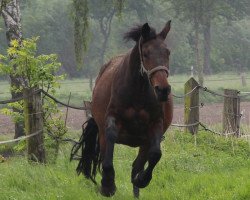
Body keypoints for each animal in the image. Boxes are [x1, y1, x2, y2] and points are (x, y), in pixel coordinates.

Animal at [71, 20, 173, 198]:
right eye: (146, 53)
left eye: (167, 52)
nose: (163, 90)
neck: (137, 92)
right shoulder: (112, 118)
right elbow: (109, 146)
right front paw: (108, 185)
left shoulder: (155, 124)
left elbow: (155, 154)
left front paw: (142, 180)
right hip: (103, 134)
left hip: (143, 143)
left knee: (137, 165)